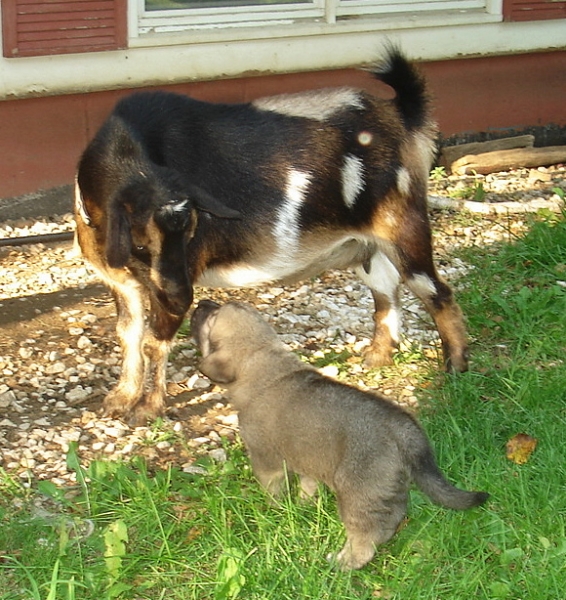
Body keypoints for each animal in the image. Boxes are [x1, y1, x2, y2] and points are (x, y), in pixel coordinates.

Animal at [75, 48, 468, 422]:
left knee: (436, 292)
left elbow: (153, 342)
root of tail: (401, 114)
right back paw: (377, 357)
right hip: (364, 245)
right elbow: (128, 334)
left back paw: (455, 370)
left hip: (403, 225)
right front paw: (121, 397)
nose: (180, 298)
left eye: (191, 233)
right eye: (141, 242)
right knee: (386, 290)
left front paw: (147, 409)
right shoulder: (123, 282)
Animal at [192, 302, 492, 568]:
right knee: (389, 518)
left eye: (211, 319)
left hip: (357, 490)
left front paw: (275, 509)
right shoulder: (307, 461)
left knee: (365, 535)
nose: (201, 302)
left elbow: (273, 488)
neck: (263, 360)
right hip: (385, 486)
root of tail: (401, 426)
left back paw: (344, 562)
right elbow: (308, 485)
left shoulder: (266, 459)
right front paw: (303, 505)